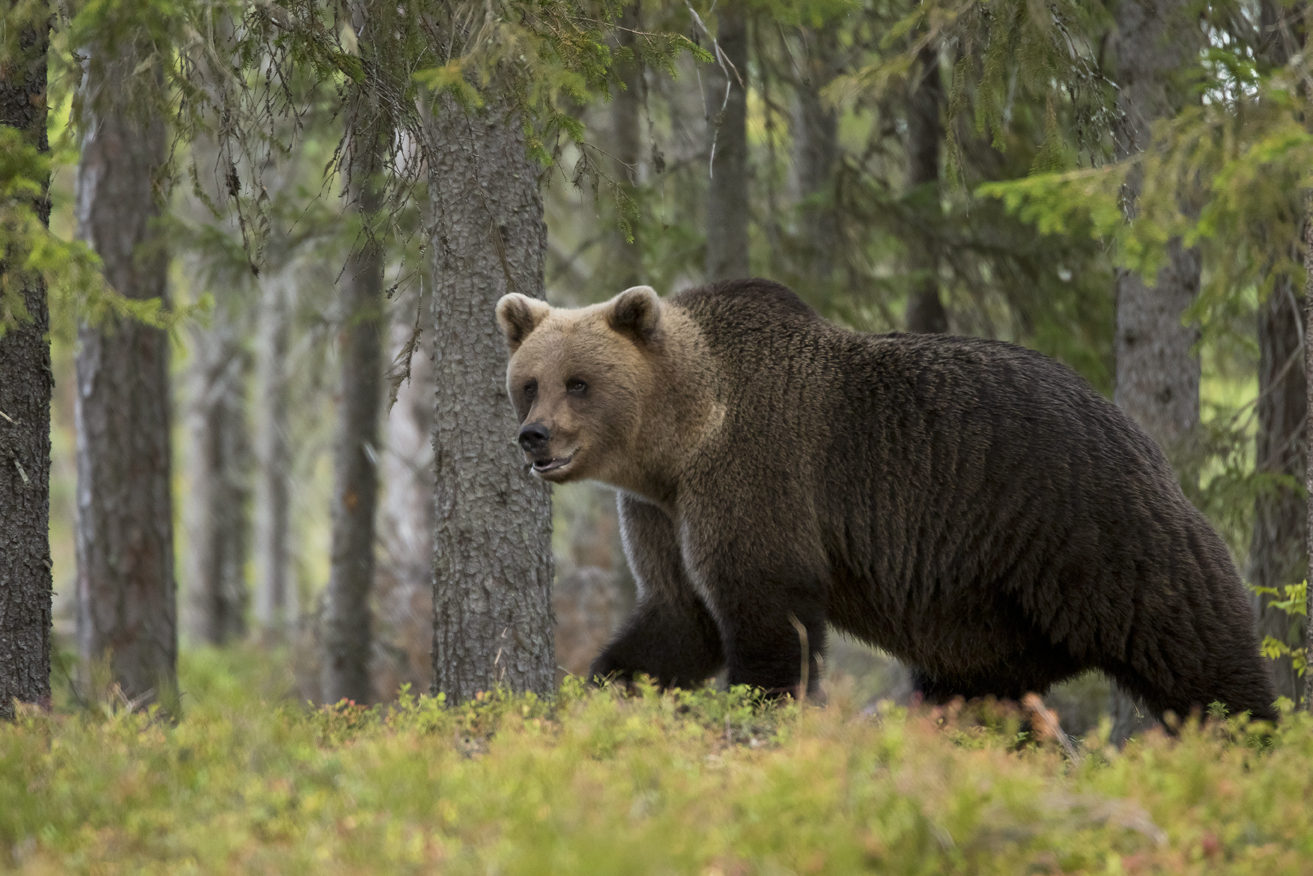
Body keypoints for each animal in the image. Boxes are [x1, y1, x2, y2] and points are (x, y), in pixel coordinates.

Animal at [496, 277, 1276, 724]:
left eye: (579, 382)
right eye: (528, 382)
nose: (533, 437)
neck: (679, 440)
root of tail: (1136, 433)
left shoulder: (756, 477)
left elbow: (768, 620)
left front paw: (760, 716)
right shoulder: (662, 512)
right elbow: (680, 618)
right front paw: (602, 690)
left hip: (1092, 534)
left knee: (1196, 655)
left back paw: (1249, 741)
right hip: (987, 624)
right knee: (983, 703)